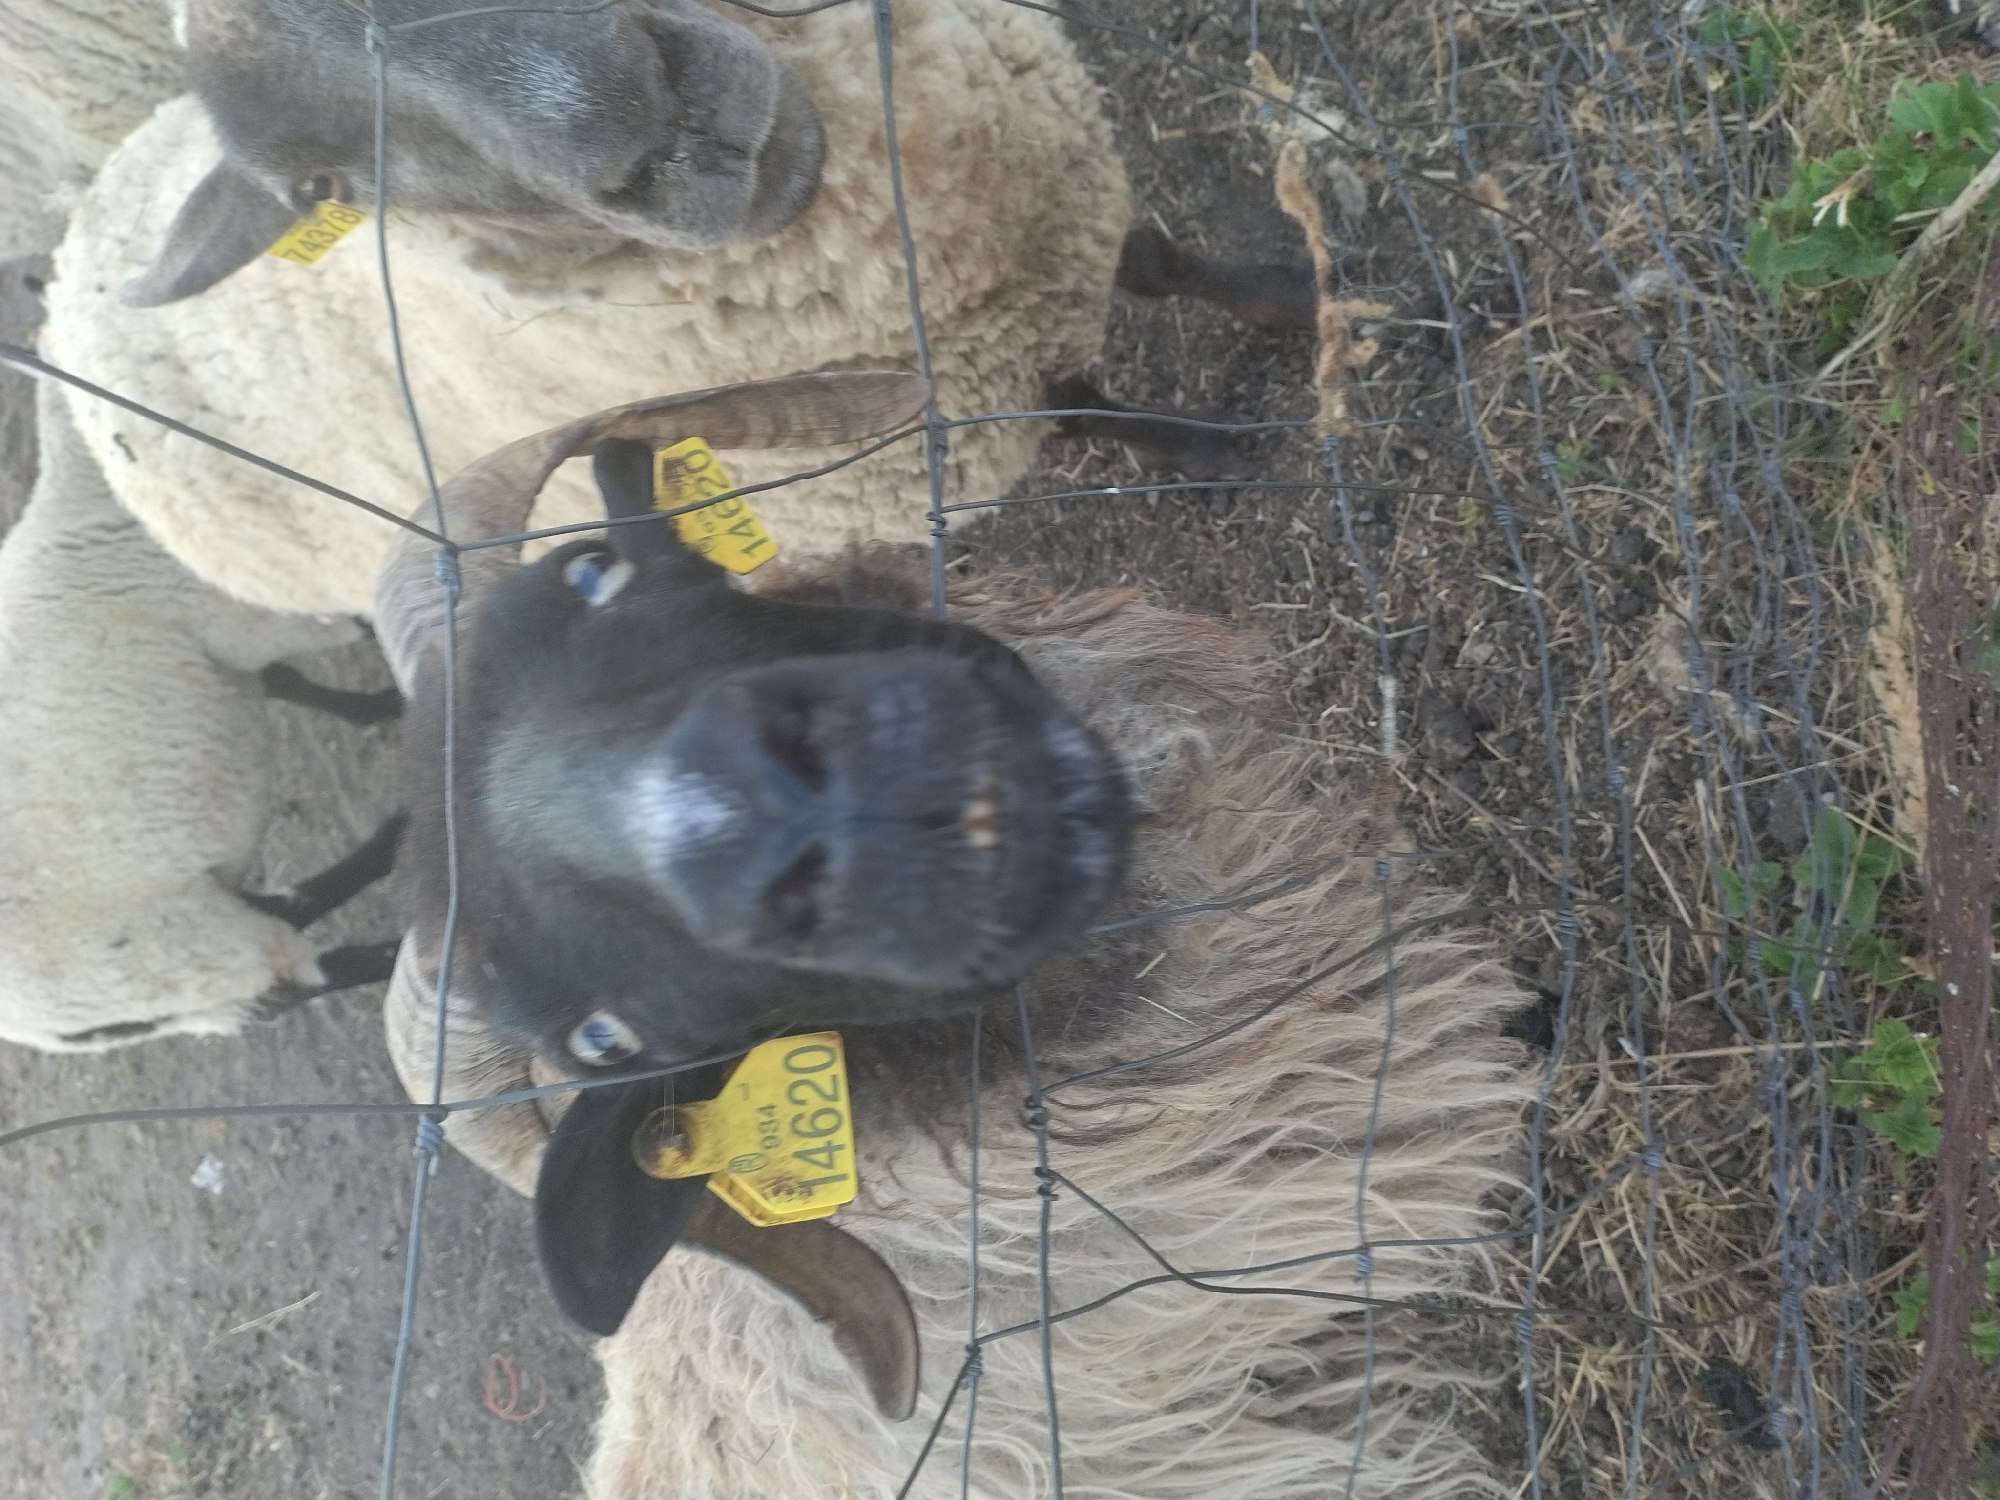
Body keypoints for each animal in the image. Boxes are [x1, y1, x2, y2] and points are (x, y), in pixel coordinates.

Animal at [0, 368, 409, 1051]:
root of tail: (42, 1027)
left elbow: (286, 681)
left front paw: (380, 703)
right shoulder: (253, 615)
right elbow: (355, 622)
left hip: (189, 974)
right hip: (183, 952)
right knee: (313, 969)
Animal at [43, 0, 1301, 619]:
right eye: (326, 188)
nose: (647, 118)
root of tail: (62, 283)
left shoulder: (1054, 212)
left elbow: (1155, 263)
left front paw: (1289, 295)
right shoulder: (955, 397)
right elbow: (1091, 409)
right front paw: (1218, 452)